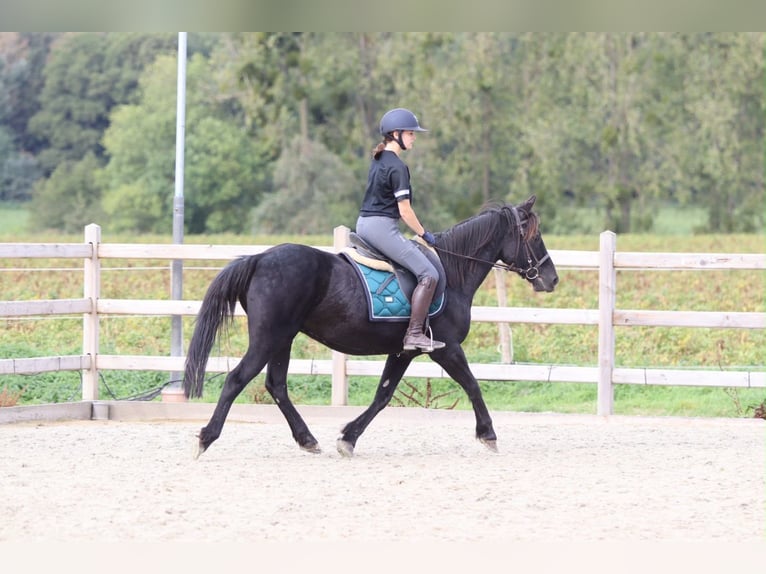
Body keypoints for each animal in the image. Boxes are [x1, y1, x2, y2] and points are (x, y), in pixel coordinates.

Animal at [183, 195, 559, 458]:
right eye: (533, 234)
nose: (551, 278)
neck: (452, 272)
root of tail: (259, 258)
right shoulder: (447, 348)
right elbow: (473, 385)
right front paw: (488, 435)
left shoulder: (403, 351)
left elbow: (383, 395)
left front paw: (348, 438)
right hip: (268, 337)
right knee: (237, 379)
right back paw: (205, 438)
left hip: (282, 339)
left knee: (277, 386)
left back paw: (307, 439)